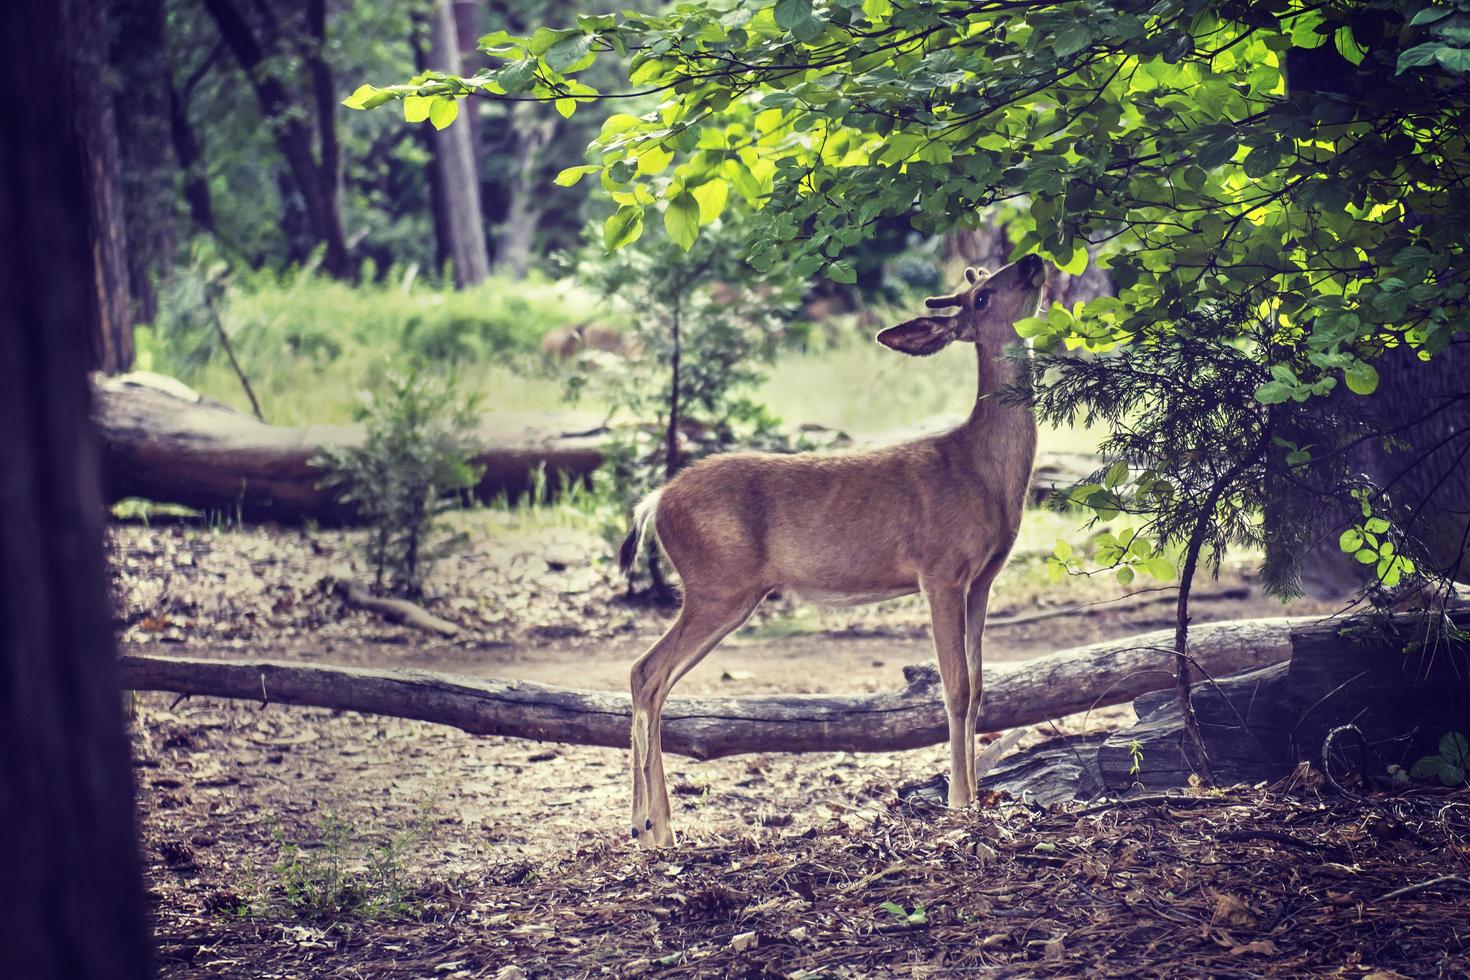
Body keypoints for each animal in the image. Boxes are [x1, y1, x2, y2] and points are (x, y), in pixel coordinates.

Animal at [614, 252, 1052, 846]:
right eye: (980, 297)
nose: (1032, 261)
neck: (980, 470)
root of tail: (656, 500)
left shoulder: (984, 578)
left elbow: (982, 687)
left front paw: (977, 798)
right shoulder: (939, 570)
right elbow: (955, 687)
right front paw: (961, 803)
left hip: (720, 590)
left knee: (650, 680)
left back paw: (645, 825)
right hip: (717, 584)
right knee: (646, 673)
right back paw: (658, 829)